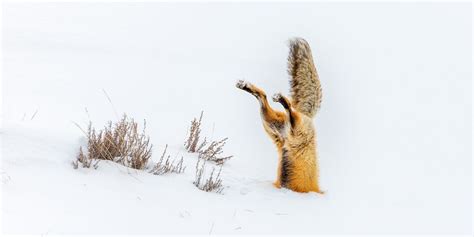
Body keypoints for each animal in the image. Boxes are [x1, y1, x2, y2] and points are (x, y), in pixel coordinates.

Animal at [236, 38, 324, 193]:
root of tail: (307, 115)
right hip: (293, 132)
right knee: (287, 110)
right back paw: (281, 100)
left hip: (273, 126)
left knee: (263, 97)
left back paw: (248, 87)